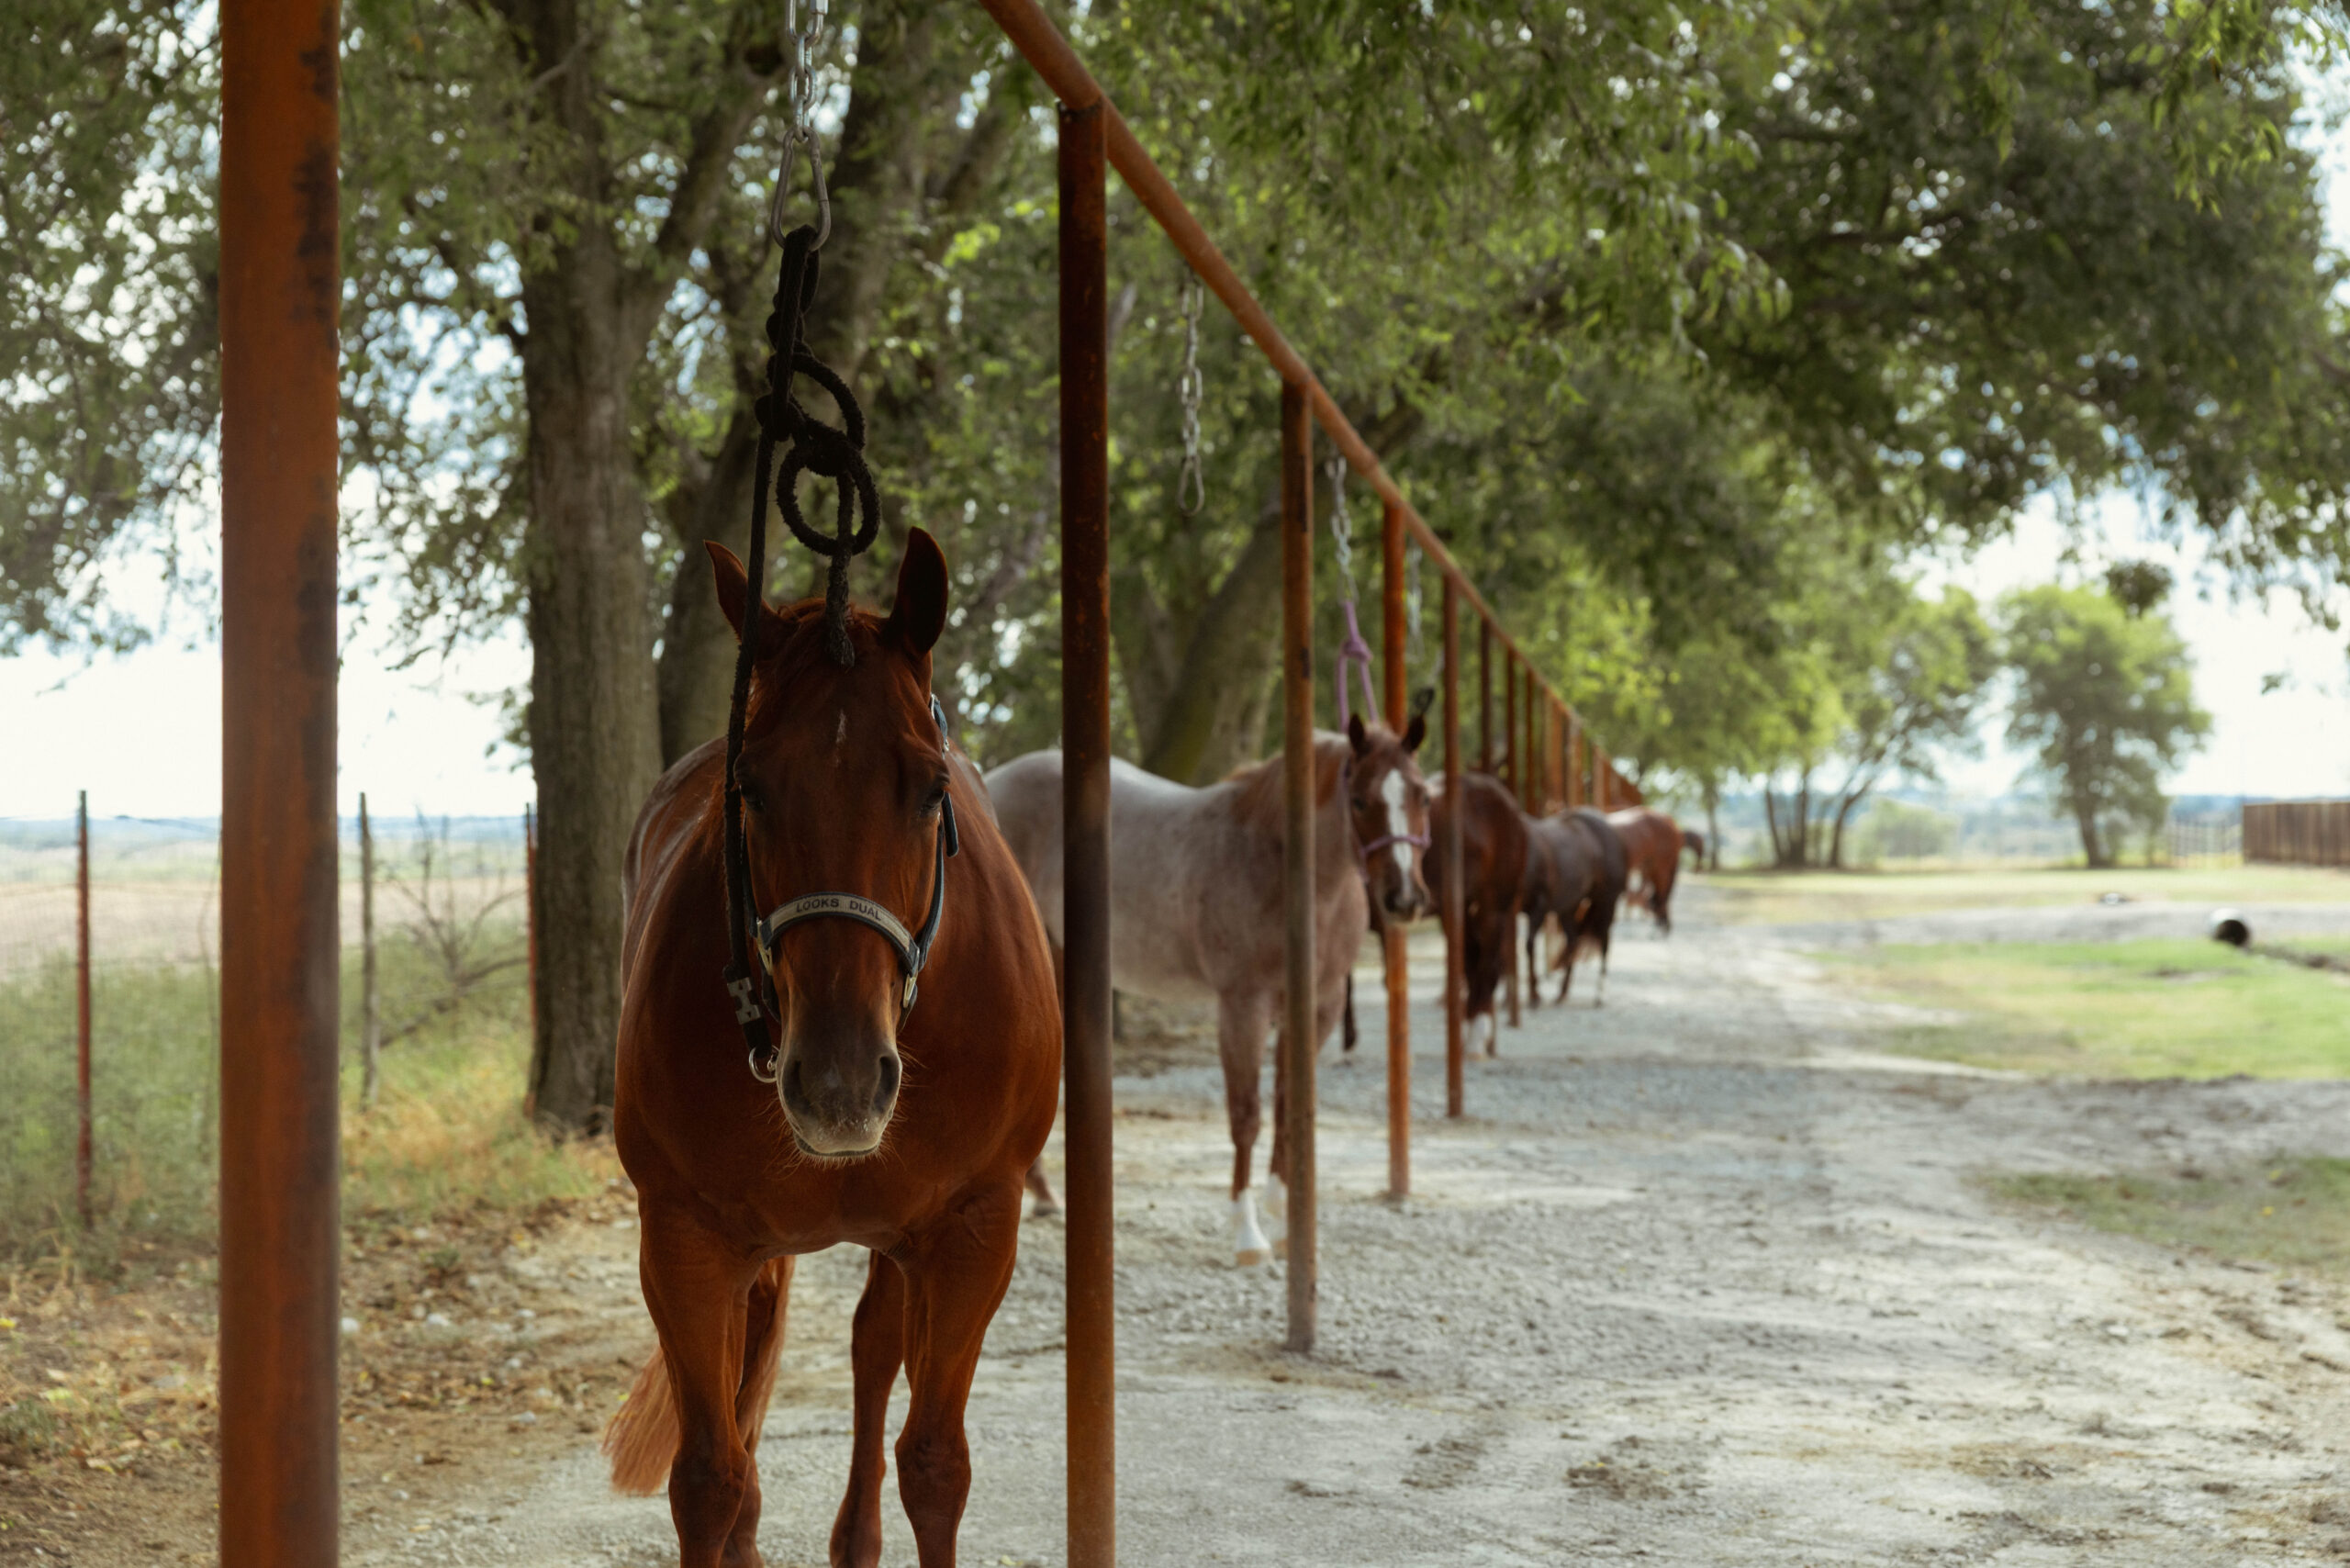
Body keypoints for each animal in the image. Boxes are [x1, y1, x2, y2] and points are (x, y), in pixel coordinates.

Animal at [602, 532, 1061, 1568]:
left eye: (931, 788)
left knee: (872, 1349)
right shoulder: (683, 1238)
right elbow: (708, 1476)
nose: (842, 1084)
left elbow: (935, 1464)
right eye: (752, 788)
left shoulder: (975, 1231)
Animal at [988, 712, 1431, 1264]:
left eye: (1423, 796)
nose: (1405, 899)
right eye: (1361, 800)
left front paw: (1285, 1220)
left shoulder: (1318, 1008)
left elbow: (1288, 1107)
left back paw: (1045, 1195)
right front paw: (1248, 1234)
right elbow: (1247, 1115)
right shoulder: (1243, 1007)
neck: (1283, 866)